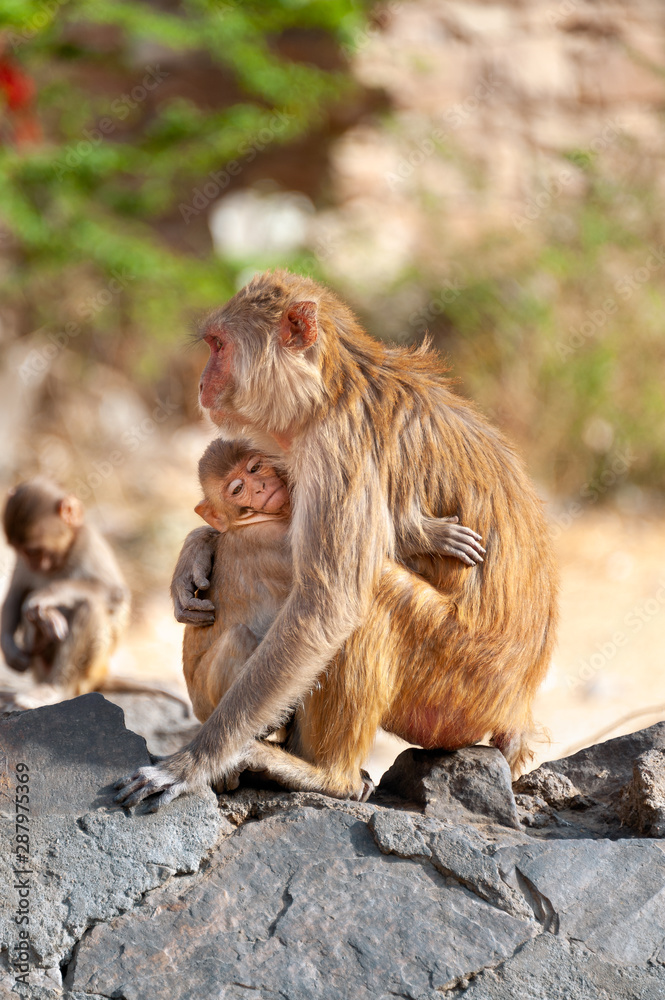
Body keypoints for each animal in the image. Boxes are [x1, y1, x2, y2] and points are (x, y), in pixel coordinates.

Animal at [172, 439, 484, 794]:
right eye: (238, 489)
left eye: (254, 468)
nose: (260, 486)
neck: (252, 521)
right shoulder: (276, 538)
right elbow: (340, 583)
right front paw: (422, 535)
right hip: (206, 700)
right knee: (242, 637)